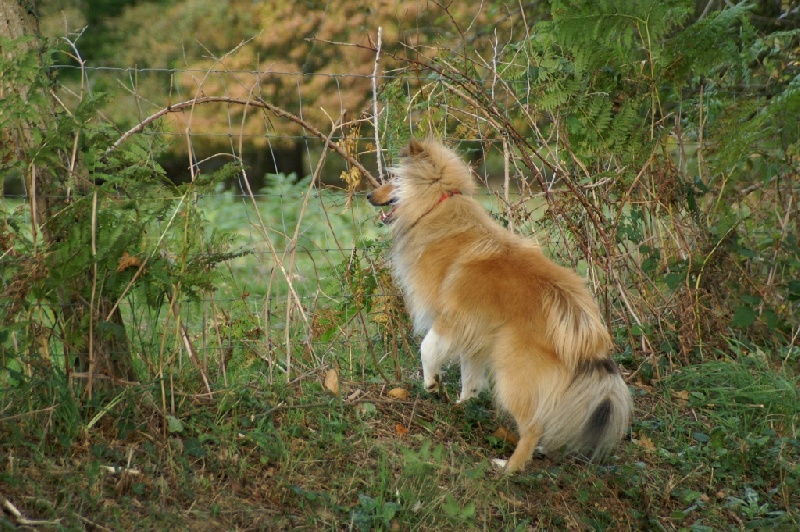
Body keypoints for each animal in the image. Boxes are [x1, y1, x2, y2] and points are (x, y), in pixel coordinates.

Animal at [368, 139, 632, 472]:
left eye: (394, 178)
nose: (368, 196)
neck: (436, 205)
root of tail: (583, 325)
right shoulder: (476, 334)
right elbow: (469, 378)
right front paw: (462, 406)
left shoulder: (450, 319)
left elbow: (427, 349)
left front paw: (431, 383)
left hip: (513, 374)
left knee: (532, 426)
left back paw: (510, 467)